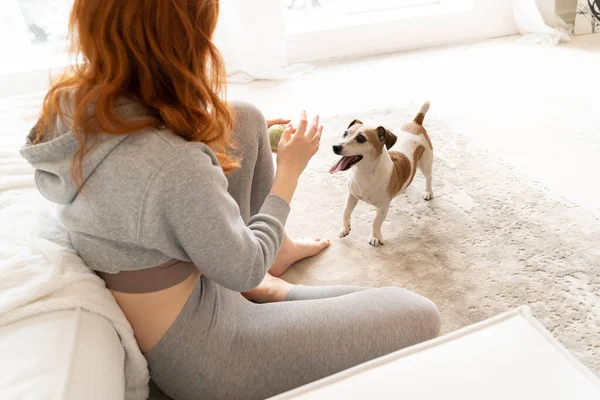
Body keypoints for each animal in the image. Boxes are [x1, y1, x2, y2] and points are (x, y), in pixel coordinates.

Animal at [330, 102, 434, 247]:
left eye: (361, 138)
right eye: (344, 134)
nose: (335, 146)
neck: (364, 173)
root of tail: (416, 123)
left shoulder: (383, 208)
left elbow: (376, 222)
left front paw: (375, 237)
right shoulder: (352, 196)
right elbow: (345, 211)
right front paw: (345, 229)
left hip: (426, 164)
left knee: (428, 177)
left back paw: (428, 192)